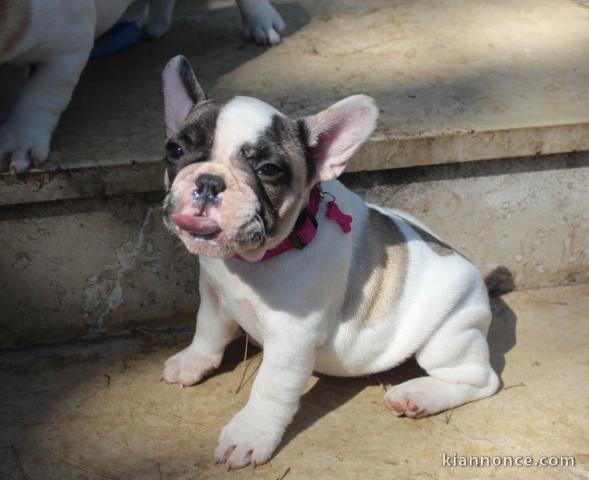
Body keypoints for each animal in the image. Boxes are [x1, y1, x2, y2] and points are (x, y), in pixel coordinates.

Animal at [158, 54, 498, 466]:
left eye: (268, 170)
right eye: (175, 150)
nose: (209, 182)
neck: (250, 261)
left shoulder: (292, 337)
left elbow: (270, 387)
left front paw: (249, 433)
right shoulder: (213, 291)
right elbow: (207, 328)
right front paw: (192, 361)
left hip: (450, 332)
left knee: (480, 379)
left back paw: (417, 394)